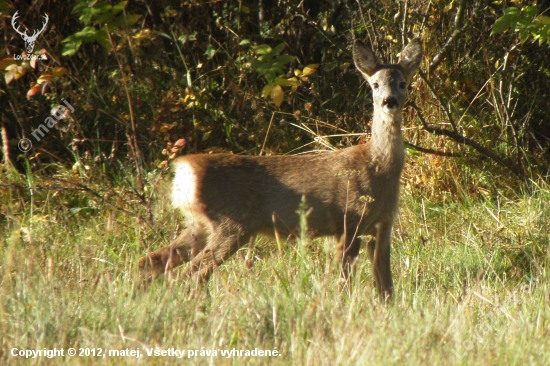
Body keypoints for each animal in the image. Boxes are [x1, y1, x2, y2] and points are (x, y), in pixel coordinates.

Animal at [140, 38, 424, 300]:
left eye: (403, 83)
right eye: (375, 84)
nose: (389, 101)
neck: (378, 168)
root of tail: (185, 170)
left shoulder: (383, 226)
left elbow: (386, 287)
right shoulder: (349, 220)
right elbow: (344, 283)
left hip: (199, 224)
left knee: (152, 261)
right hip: (231, 223)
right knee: (194, 272)